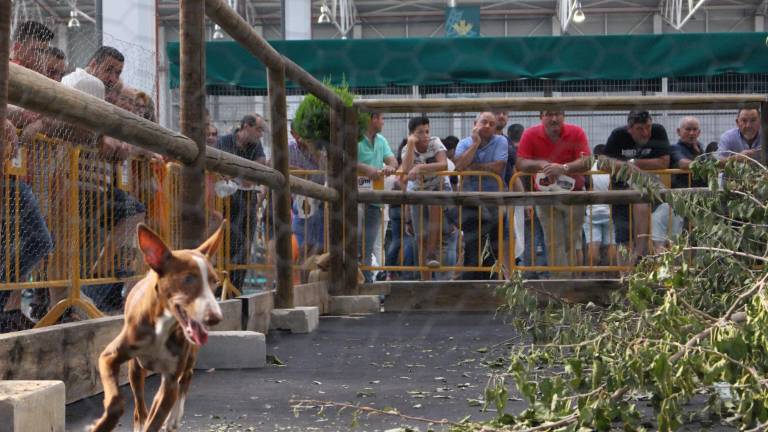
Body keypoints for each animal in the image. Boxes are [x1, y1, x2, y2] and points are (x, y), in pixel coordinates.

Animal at [91, 221, 225, 430]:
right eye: (188, 278)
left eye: (215, 282)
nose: (215, 318)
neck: (163, 326)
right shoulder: (109, 357)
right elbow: (116, 402)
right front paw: (102, 425)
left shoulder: (170, 379)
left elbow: (157, 417)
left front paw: (165, 419)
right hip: (136, 369)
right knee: (141, 403)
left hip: (188, 358)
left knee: (186, 377)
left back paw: (173, 418)